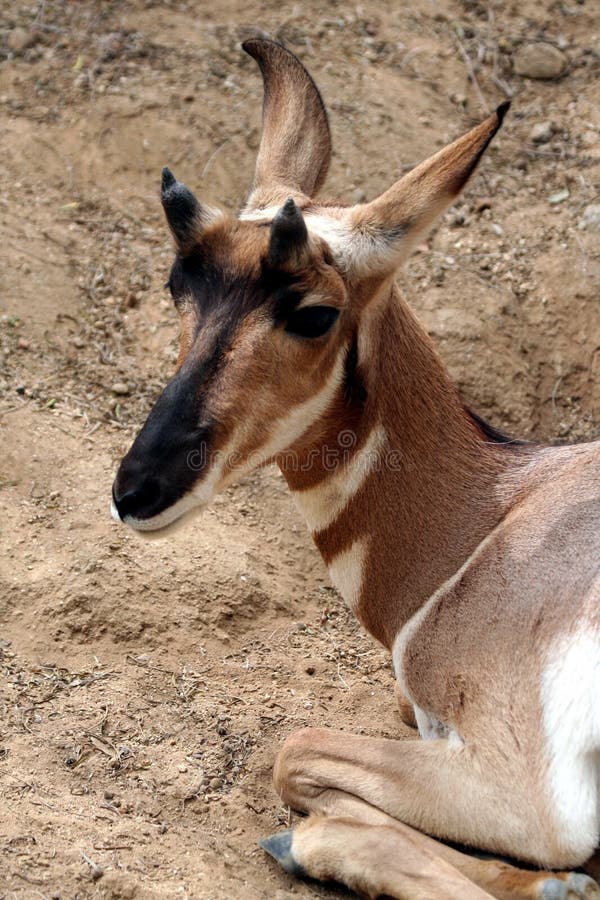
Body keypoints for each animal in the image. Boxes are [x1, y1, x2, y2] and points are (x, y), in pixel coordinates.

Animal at [112, 37, 600, 900]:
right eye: (178, 284)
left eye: (314, 313)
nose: (137, 488)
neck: (493, 518)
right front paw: (553, 884)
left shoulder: (532, 799)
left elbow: (295, 752)